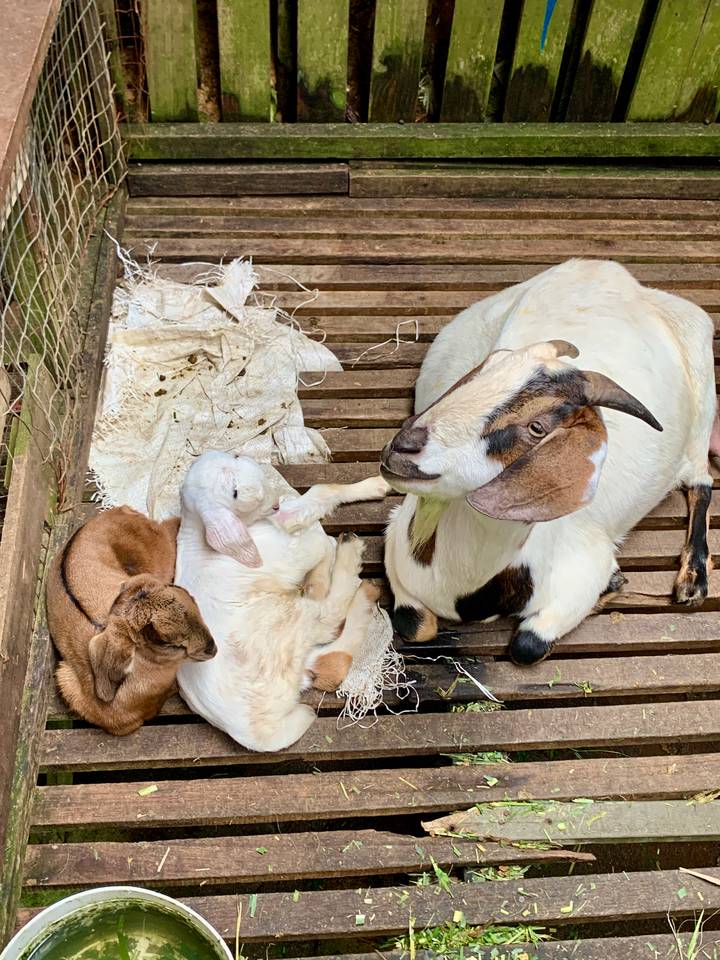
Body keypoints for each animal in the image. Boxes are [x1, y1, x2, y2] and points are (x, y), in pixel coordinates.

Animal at [175, 451, 389, 752]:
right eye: (234, 493)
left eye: (234, 457)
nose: (272, 501)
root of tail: (254, 734)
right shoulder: (294, 548)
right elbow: (317, 530)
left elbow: (320, 492)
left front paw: (377, 484)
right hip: (283, 622)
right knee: (328, 617)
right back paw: (351, 558)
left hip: (292, 659)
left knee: (331, 660)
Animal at [382, 259, 717, 664]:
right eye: (477, 374)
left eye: (537, 427)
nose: (403, 447)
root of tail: (605, 269)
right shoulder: (397, 537)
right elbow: (414, 625)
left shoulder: (584, 568)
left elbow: (527, 645)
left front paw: (613, 584)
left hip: (702, 395)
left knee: (701, 482)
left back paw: (693, 579)